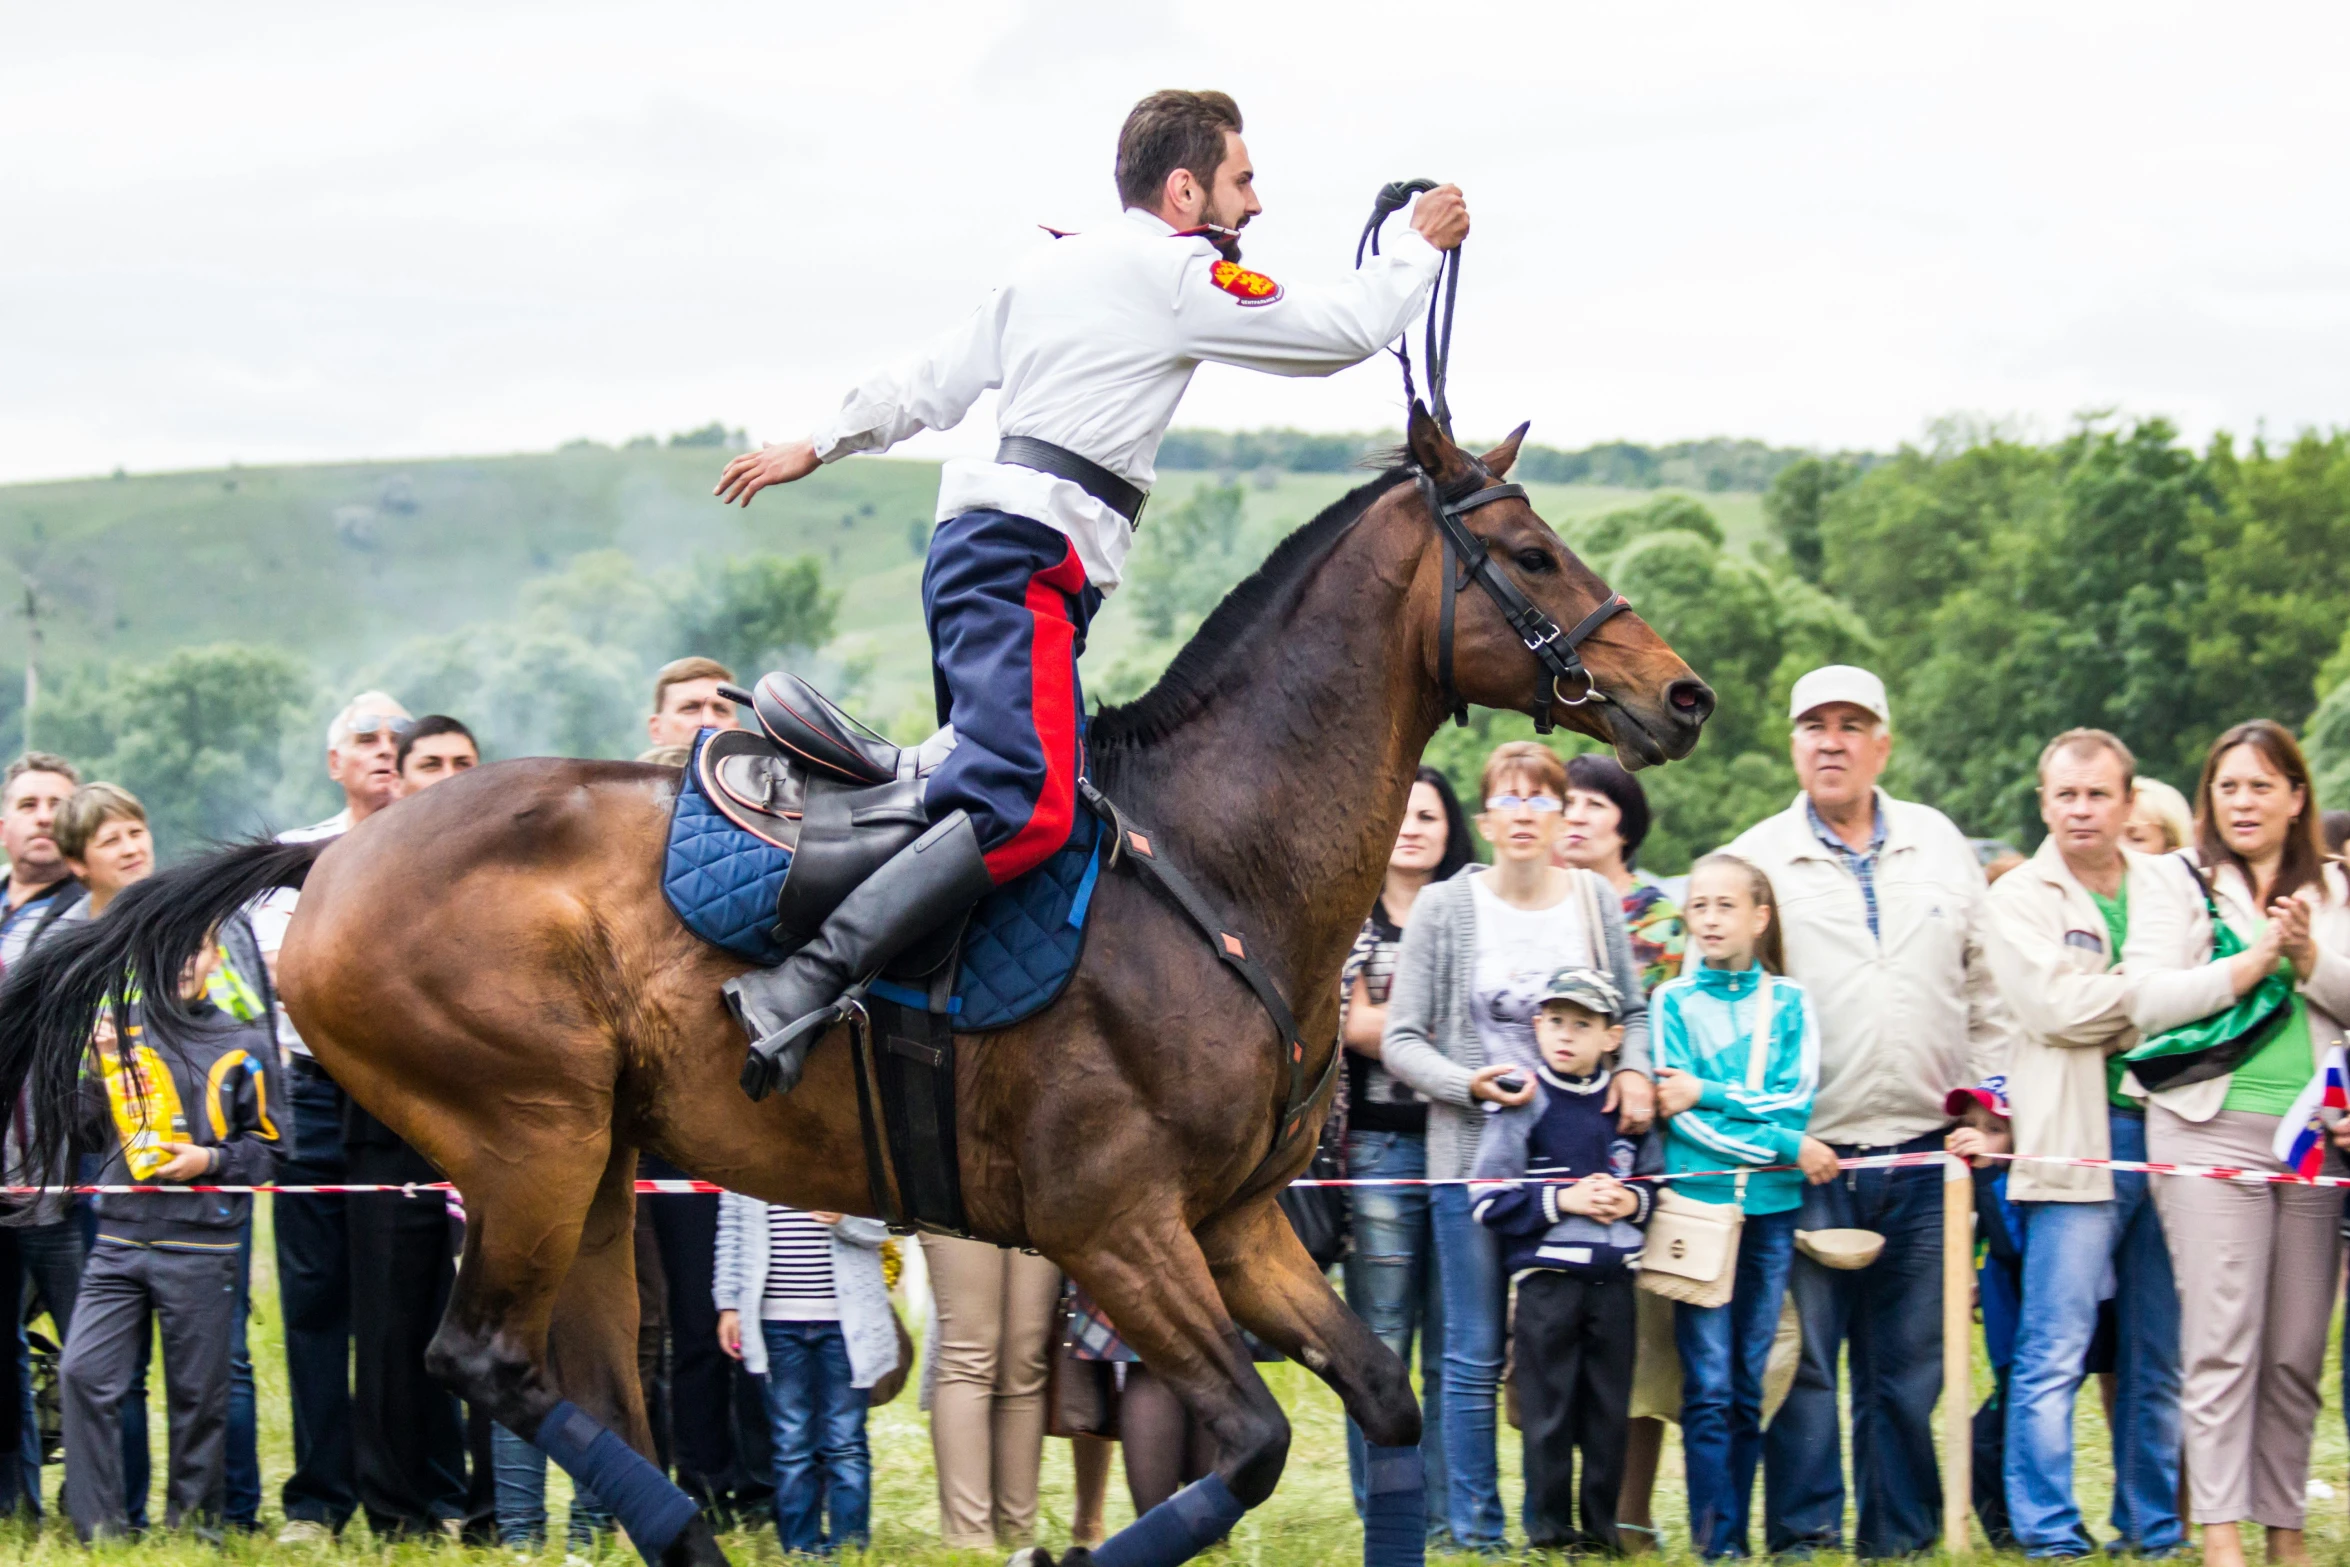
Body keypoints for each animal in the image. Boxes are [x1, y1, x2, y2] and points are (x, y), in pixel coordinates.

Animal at [4, 408, 1710, 1567]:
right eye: (1535, 552)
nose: (1682, 693)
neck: (1213, 865)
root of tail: (331, 851)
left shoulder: (1228, 1224)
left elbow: (1381, 1403)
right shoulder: (1115, 1223)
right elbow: (1244, 1438)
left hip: (597, 1163)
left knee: (588, 1379)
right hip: (531, 1138)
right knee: (481, 1358)